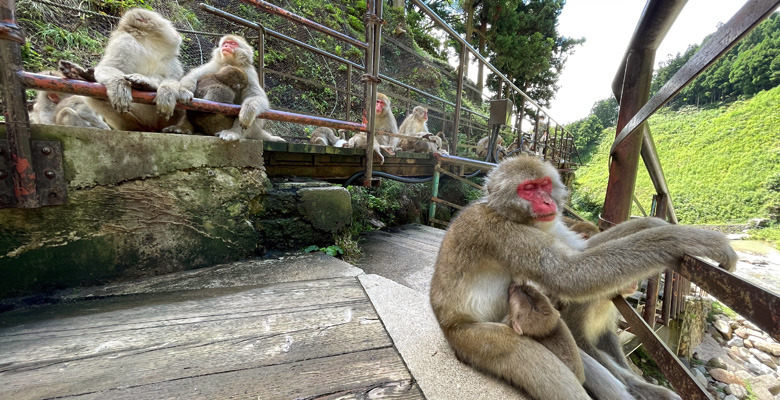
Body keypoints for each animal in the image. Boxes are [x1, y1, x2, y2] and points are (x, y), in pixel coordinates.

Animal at [430, 154, 736, 400]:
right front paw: (687, 238)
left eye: (543, 184)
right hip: (470, 339)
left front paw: (652, 223)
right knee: (525, 355)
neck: (510, 215)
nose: (547, 201)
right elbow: (568, 273)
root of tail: (446, 325)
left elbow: (583, 252)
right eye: (527, 189)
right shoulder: (498, 231)